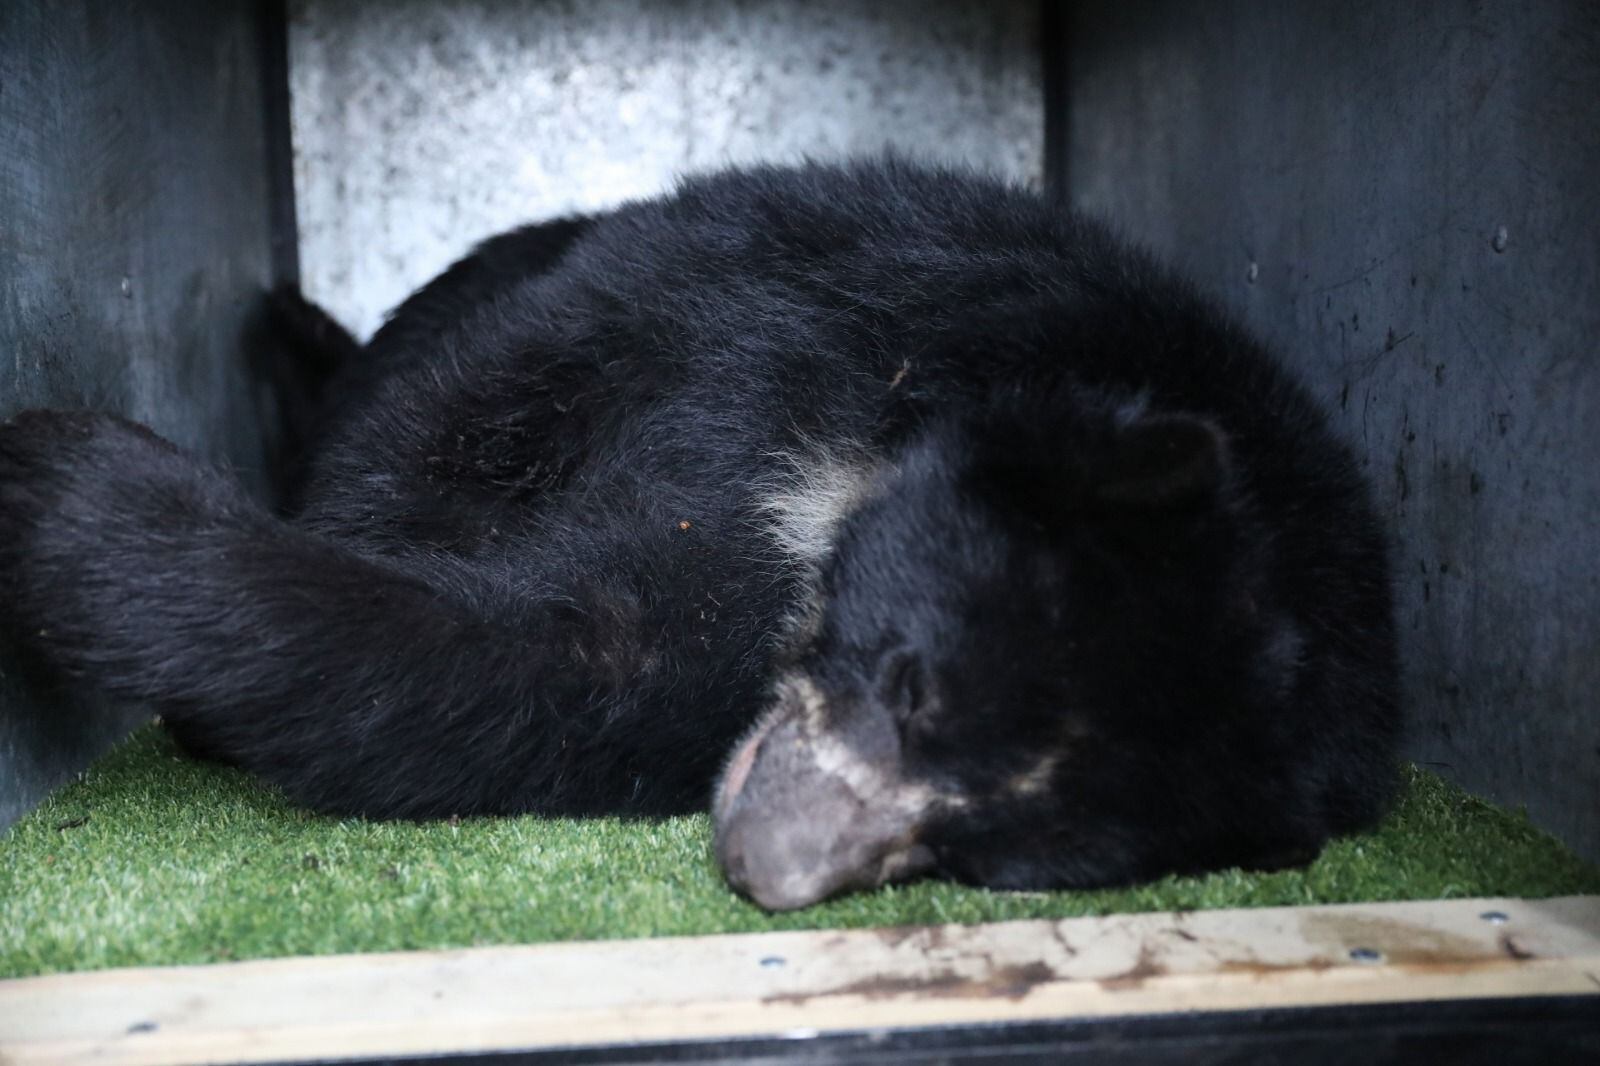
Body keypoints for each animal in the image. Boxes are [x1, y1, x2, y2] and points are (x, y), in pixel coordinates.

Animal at [0, 159, 1400, 910]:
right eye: (909, 678)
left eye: (981, 859)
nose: (759, 858)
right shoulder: (854, 280)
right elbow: (497, 398)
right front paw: (68, 479)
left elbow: (567, 667)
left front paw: (90, 516)